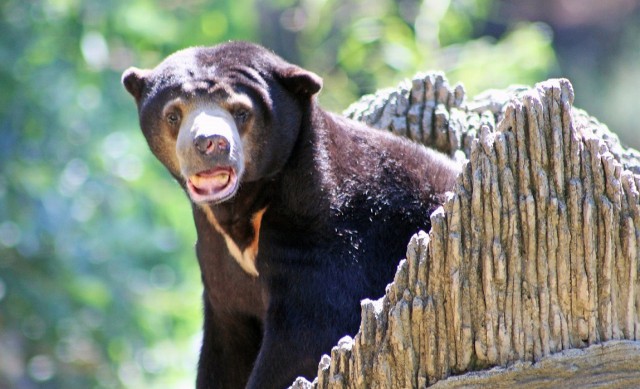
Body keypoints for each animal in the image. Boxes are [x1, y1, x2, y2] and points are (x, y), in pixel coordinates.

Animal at [120, 42, 460, 388]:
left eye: (241, 112)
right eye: (173, 114)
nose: (209, 143)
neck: (244, 208)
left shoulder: (323, 240)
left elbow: (307, 336)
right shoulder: (217, 264)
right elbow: (226, 347)